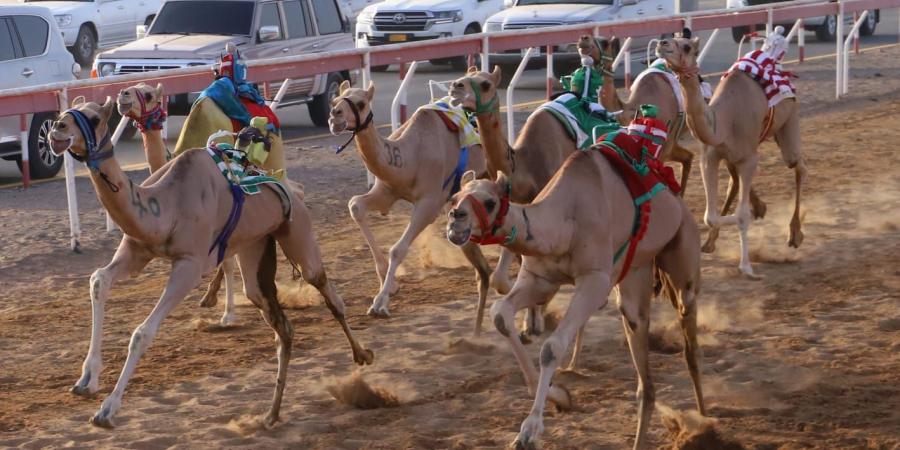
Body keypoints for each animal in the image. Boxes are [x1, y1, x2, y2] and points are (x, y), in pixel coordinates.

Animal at [48, 96, 372, 428]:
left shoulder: (189, 264)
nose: (57, 128)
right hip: (255, 247)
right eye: (66, 113)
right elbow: (99, 279)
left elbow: (142, 332)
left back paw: (363, 356)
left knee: (325, 289)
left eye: (95, 118)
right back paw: (271, 413)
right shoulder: (137, 250)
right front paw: (86, 379)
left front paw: (108, 409)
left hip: (297, 231)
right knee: (280, 324)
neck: (164, 206)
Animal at [660, 29, 808, 276]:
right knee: (734, 182)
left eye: (687, 46)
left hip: (789, 119)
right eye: (672, 37)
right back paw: (716, 238)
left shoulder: (749, 159)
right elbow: (710, 217)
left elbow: (741, 215)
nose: (662, 44)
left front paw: (746, 266)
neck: (722, 122)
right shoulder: (709, 157)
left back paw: (795, 234)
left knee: (798, 166)